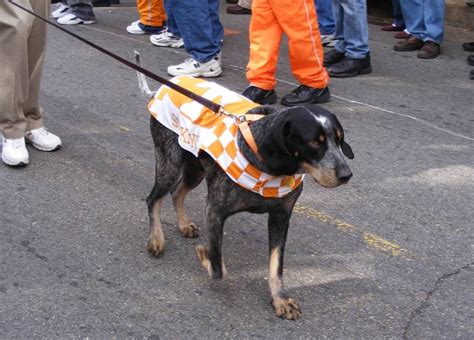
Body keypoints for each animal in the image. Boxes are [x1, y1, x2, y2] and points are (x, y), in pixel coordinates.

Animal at [135, 53, 354, 318]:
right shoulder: (215, 212)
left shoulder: (281, 217)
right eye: (313, 142)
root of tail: (163, 87)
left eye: (339, 139)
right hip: (170, 163)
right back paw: (156, 239)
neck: (269, 167)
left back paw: (183, 224)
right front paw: (205, 256)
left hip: (195, 168)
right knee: (154, 199)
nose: (346, 174)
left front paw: (280, 299)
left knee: (178, 192)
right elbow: (218, 267)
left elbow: (276, 266)